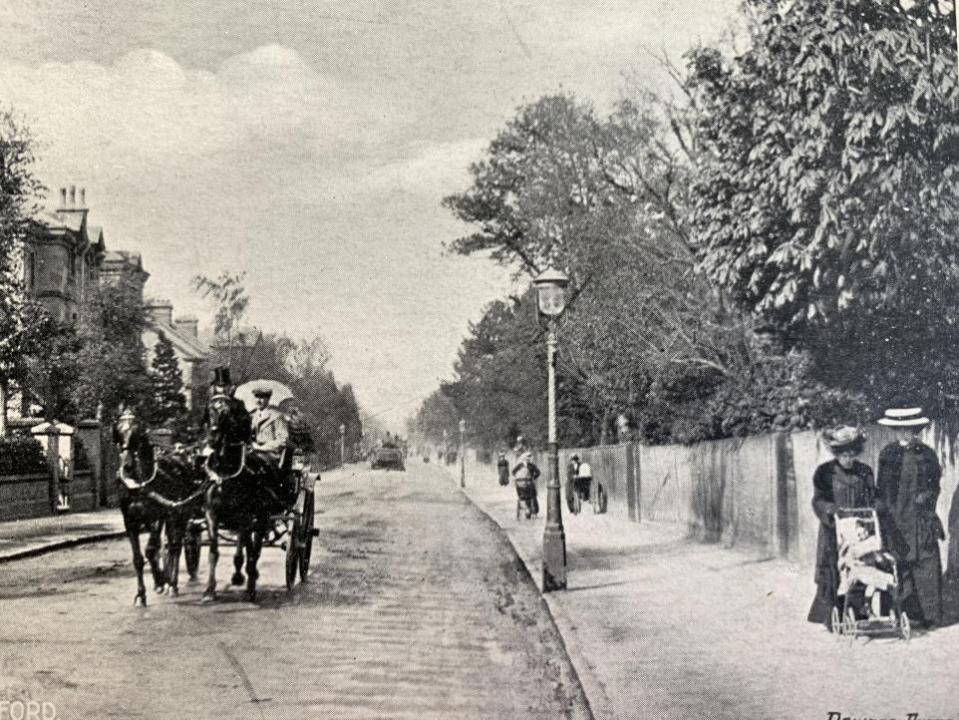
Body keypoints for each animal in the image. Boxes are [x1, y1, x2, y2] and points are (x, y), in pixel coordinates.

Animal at [115, 416, 207, 608]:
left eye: (136, 434)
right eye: (119, 432)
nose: (127, 466)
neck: (140, 484)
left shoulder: (156, 518)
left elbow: (151, 550)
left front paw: (159, 581)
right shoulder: (130, 521)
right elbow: (138, 558)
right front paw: (141, 595)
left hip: (179, 514)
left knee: (175, 546)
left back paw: (172, 584)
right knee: (170, 545)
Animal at [201, 394, 280, 600]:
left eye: (227, 412)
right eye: (210, 409)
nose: (213, 437)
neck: (226, 474)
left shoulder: (245, 517)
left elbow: (245, 553)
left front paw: (246, 583)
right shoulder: (212, 515)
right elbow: (214, 552)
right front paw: (209, 590)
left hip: (261, 518)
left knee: (255, 548)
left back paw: (251, 577)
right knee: (247, 546)